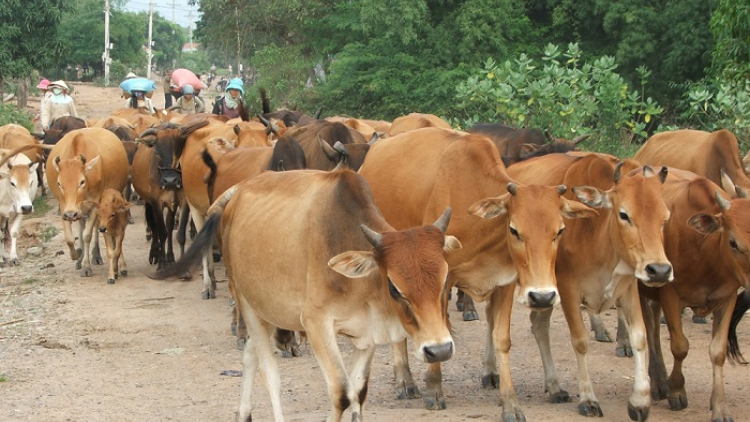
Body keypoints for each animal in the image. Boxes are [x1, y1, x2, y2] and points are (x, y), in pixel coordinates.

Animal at [159, 168, 462, 422]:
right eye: (395, 287)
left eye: (445, 280)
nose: (439, 350)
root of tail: (240, 188)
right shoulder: (317, 324)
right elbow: (341, 394)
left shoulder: (367, 334)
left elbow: (358, 393)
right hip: (247, 302)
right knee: (270, 372)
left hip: (269, 309)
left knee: (250, 355)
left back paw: (243, 414)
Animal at [358, 128, 600, 418]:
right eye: (515, 230)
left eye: (560, 231)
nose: (542, 297)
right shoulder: (441, 279)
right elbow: (439, 329)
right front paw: (434, 389)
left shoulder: (506, 282)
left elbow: (501, 338)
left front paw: (510, 403)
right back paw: (404, 380)